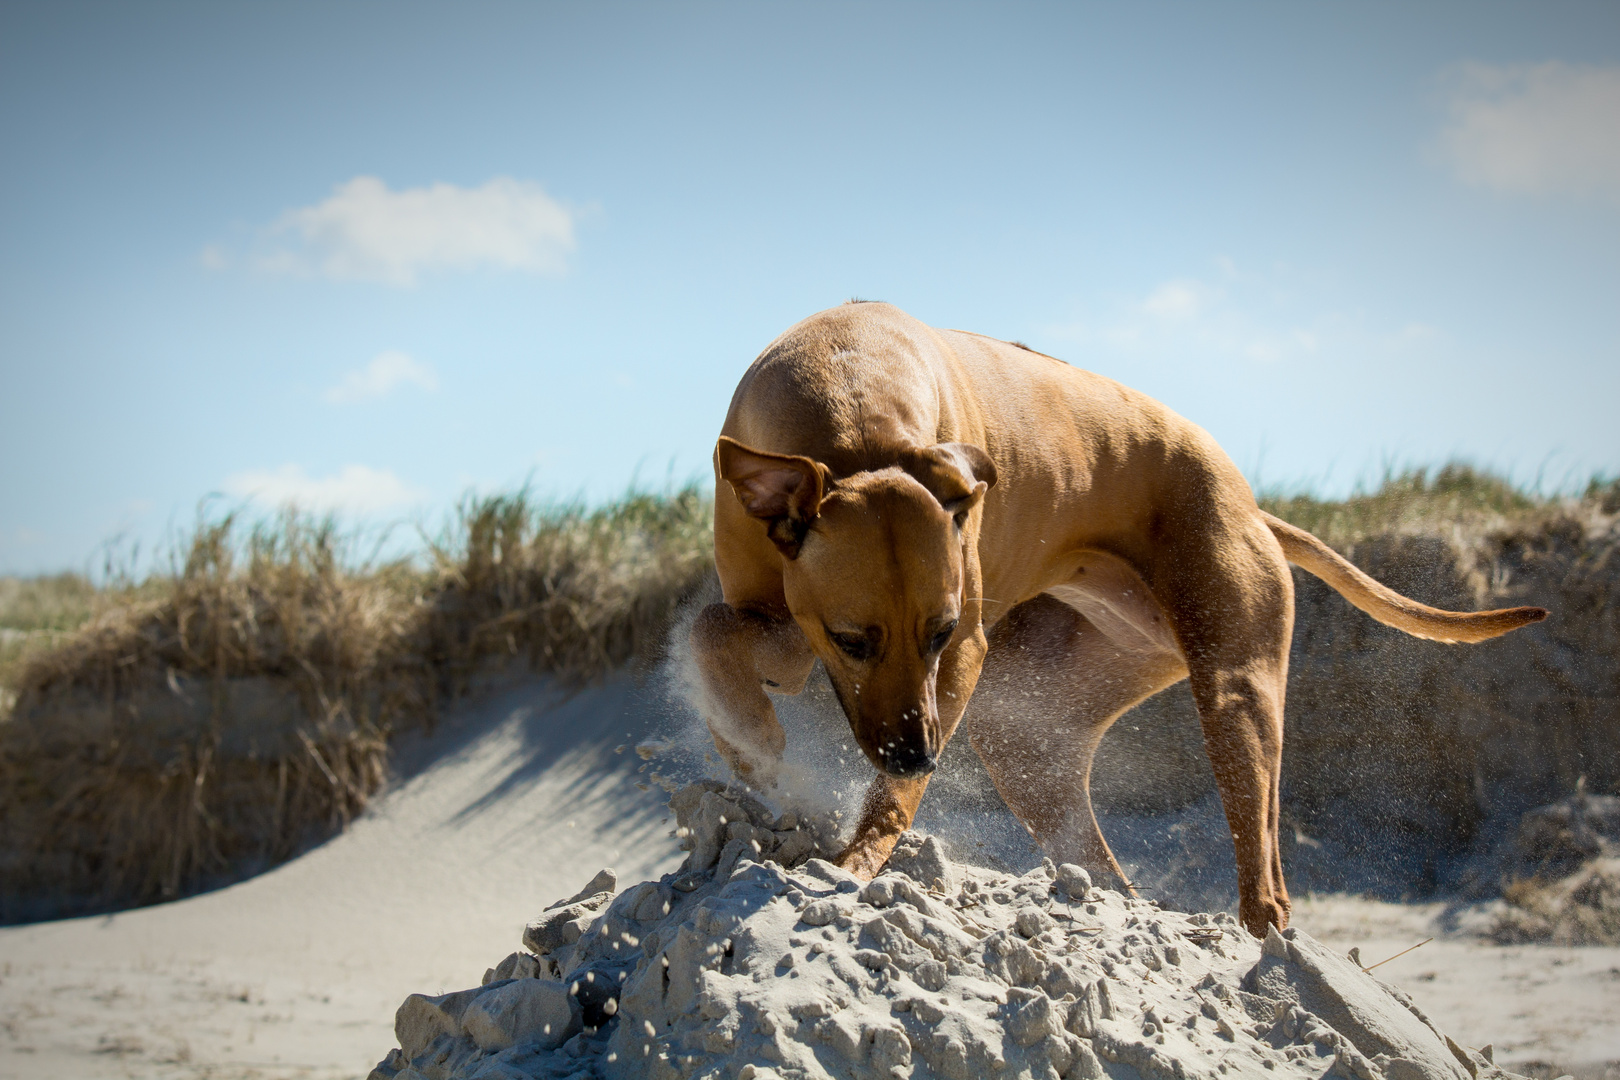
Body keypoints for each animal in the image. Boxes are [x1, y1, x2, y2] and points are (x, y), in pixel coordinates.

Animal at [686, 299, 1542, 932]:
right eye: (853, 639)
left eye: (941, 632)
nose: (918, 758)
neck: (850, 392)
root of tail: (1256, 510)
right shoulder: (793, 625)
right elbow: (712, 630)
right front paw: (749, 740)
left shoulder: (957, 655)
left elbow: (882, 794)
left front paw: (855, 855)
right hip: (1030, 733)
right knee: (1104, 868)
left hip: (1234, 688)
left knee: (1263, 861)